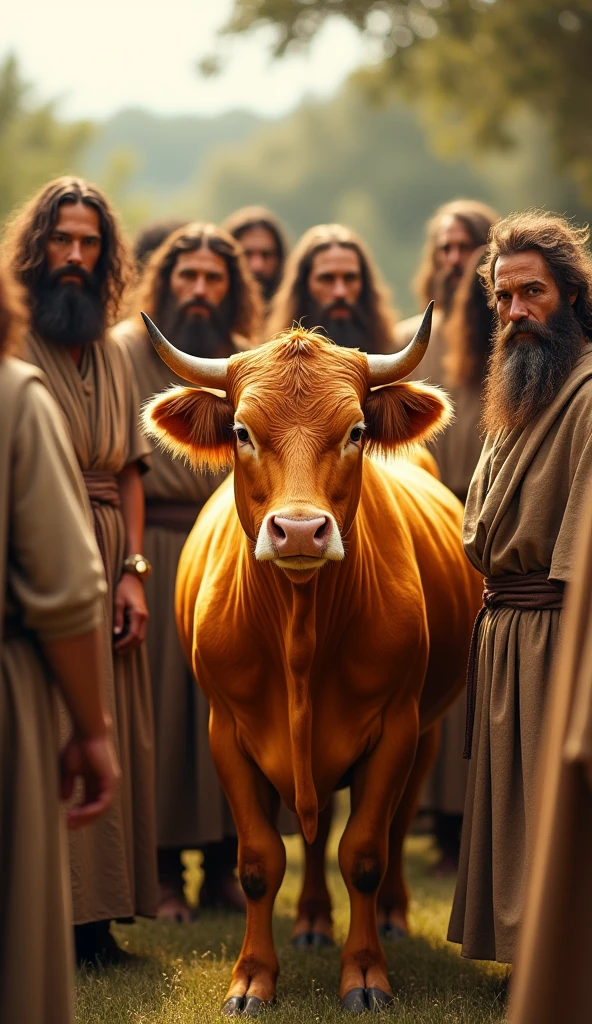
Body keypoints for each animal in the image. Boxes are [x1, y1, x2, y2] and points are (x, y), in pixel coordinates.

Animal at [141, 306, 481, 1015]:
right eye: (242, 431)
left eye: (355, 431)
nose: (299, 530)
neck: (300, 637)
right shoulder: (226, 732)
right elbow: (259, 861)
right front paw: (251, 979)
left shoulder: (398, 727)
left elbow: (366, 853)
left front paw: (367, 974)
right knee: (316, 830)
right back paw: (312, 922)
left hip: (429, 733)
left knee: (392, 828)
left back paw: (390, 917)